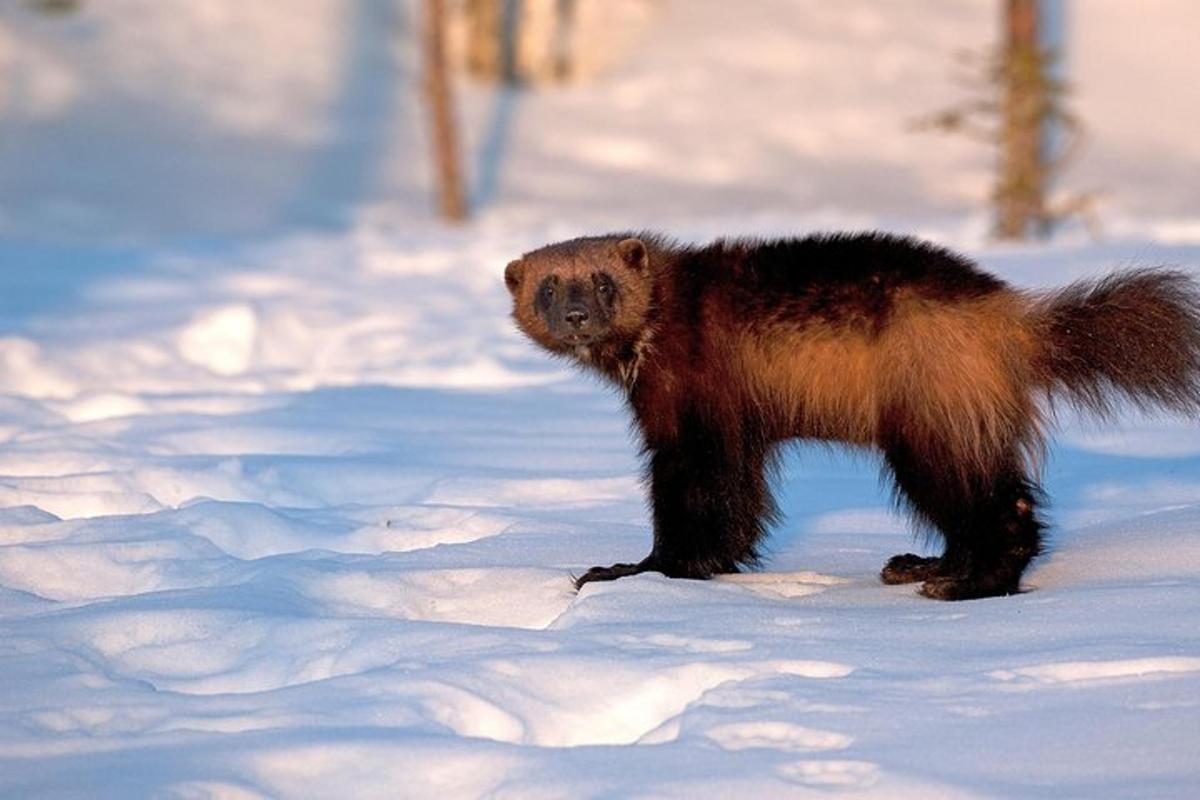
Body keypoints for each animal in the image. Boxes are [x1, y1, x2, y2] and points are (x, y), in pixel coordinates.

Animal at [504, 231, 1200, 600]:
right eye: (549, 285)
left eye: (601, 281)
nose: (575, 315)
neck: (667, 321)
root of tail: (1010, 316)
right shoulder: (735, 426)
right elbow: (739, 502)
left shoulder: (693, 413)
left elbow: (697, 499)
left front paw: (634, 570)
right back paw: (925, 564)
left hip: (931, 417)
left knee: (1000, 505)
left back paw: (968, 582)